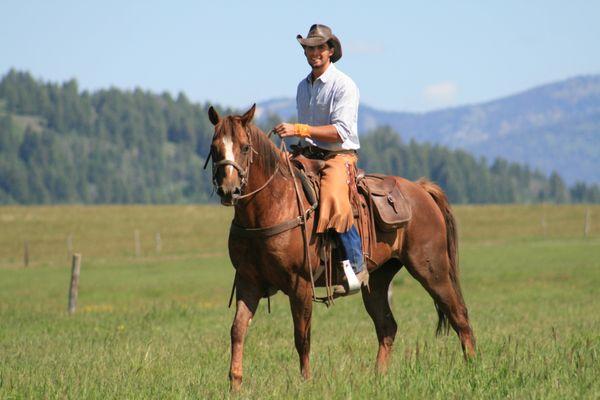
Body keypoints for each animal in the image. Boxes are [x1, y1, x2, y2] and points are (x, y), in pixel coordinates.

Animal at [209, 104, 476, 390]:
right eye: (214, 147)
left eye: (245, 147)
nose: (229, 190)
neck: (273, 205)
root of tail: (422, 190)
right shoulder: (248, 282)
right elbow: (237, 330)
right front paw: (235, 384)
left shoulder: (300, 284)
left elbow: (302, 336)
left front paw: (306, 382)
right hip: (378, 279)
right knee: (387, 326)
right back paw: (378, 378)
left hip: (432, 270)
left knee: (459, 315)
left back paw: (472, 368)